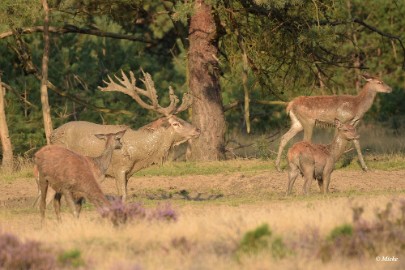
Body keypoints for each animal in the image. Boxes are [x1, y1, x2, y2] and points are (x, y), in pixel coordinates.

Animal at [50, 69, 200, 200]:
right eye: (175, 123)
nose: (197, 129)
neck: (138, 155)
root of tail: (52, 134)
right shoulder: (119, 168)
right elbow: (122, 195)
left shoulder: (128, 173)